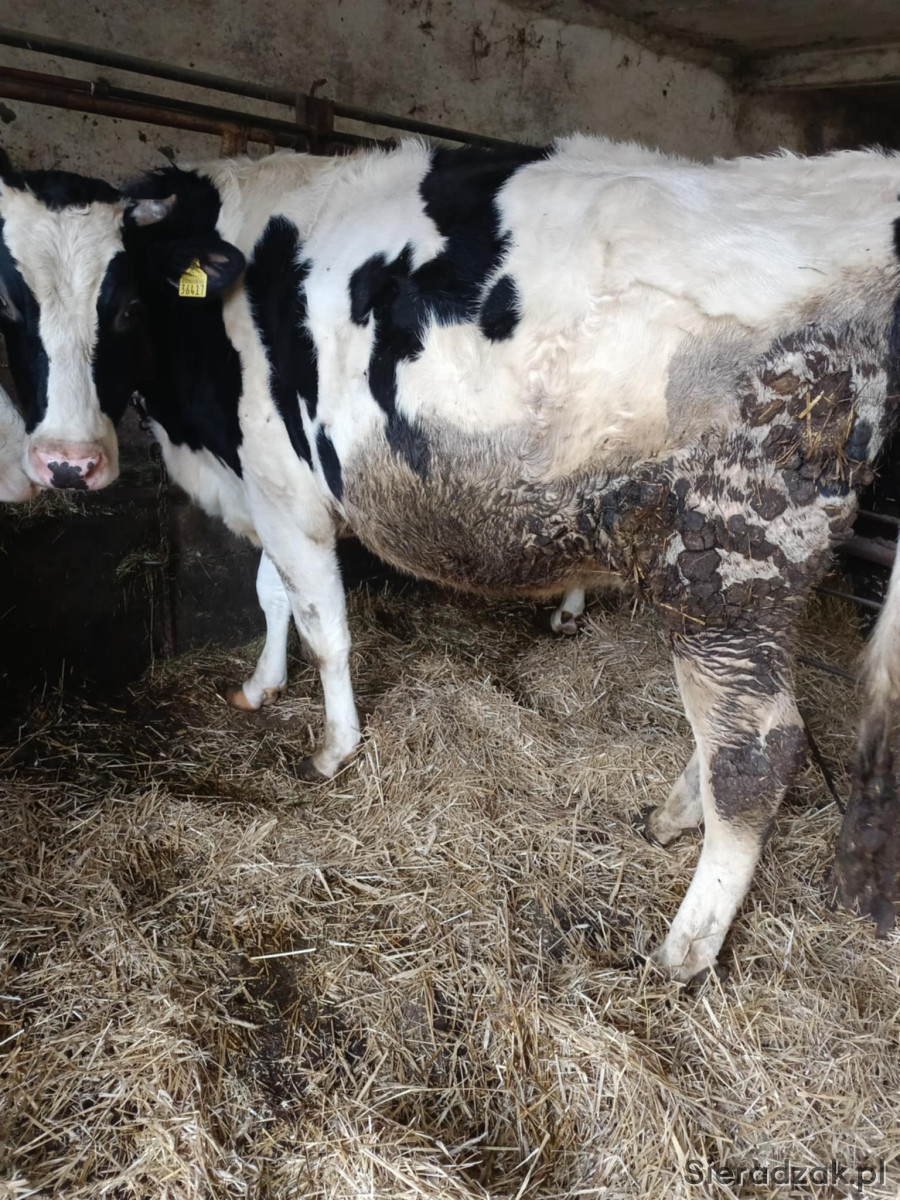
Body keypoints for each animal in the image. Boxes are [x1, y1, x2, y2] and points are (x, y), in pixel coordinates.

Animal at [2, 139, 899, 979]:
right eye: (10, 303)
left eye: (123, 305)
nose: (68, 461)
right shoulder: (267, 489)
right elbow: (272, 594)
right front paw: (260, 686)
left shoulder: (282, 484)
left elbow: (323, 626)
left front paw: (334, 746)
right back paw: (675, 816)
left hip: (731, 554)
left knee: (759, 749)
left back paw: (685, 947)